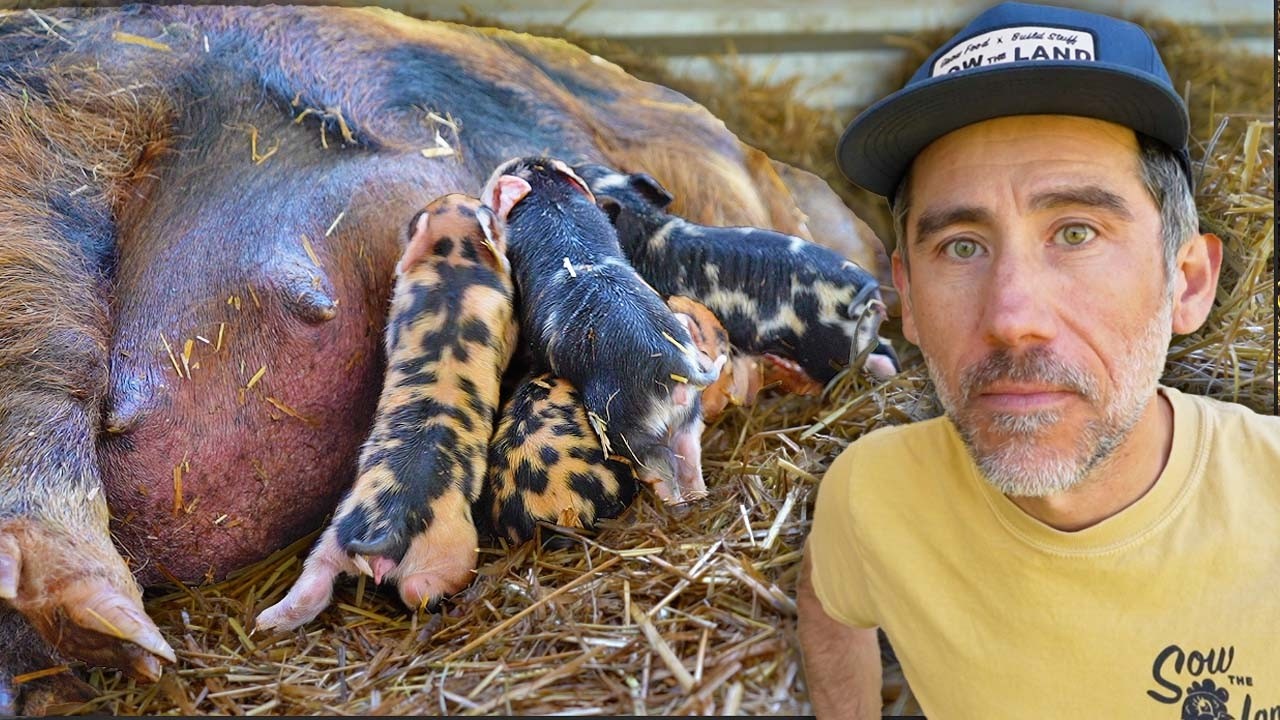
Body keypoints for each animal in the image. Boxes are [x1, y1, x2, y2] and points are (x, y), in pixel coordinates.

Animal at [256, 195, 517, 631]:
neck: (454, 265)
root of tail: (389, 527)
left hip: (336, 533)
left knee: (312, 585)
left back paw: (265, 621)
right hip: (451, 550)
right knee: (417, 591)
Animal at [482, 157, 727, 506]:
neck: (552, 199)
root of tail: (679, 367)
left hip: (623, 424)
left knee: (659, 463)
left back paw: (673, 502)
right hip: (689, 415)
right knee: (689, 454)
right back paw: (697, 498)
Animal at [574, 162, 900, 387]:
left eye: (585, 181)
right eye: (592, 169)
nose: (572, 163)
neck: (649, 230)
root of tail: (867, 289)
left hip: (828, 347)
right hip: (859, 334)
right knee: (886, 351)